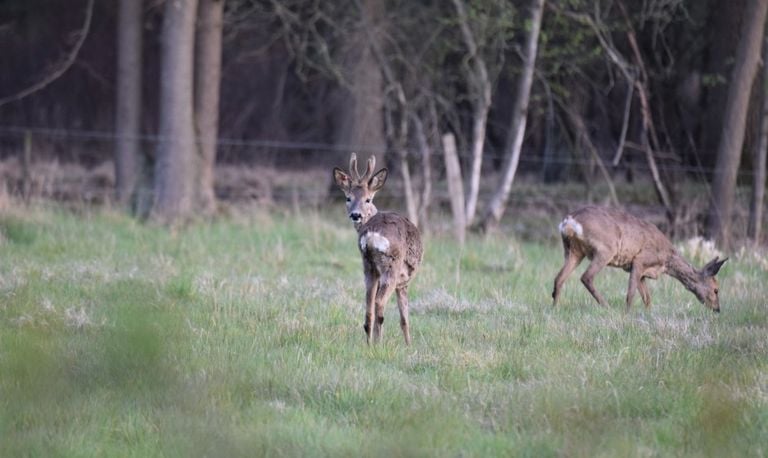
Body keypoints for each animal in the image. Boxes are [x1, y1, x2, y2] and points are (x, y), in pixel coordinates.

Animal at [332, 154, 424, 344]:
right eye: (348, 198)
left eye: (368, 199)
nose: (356, 215)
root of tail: (372, 235)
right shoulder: (404, 281)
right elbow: (405, 318)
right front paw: (409, 345)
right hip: (391, 267)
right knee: (379, 303)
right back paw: (379, 343)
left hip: (368, 266)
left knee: (368, 307)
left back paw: (370, 344)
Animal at [552, 207, 728, 312]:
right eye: (716, 289)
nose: (718, 309)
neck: (666, 260)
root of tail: (569, 221)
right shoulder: (640, 260)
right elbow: (631, 293)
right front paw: (627, 314)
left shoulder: (640, 271)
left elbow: (647, 298)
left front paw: (648, 314)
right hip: (606, 249)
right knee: (586, 277)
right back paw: (607, 307)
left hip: (572, 251)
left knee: (559, 278)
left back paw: (555, 307)